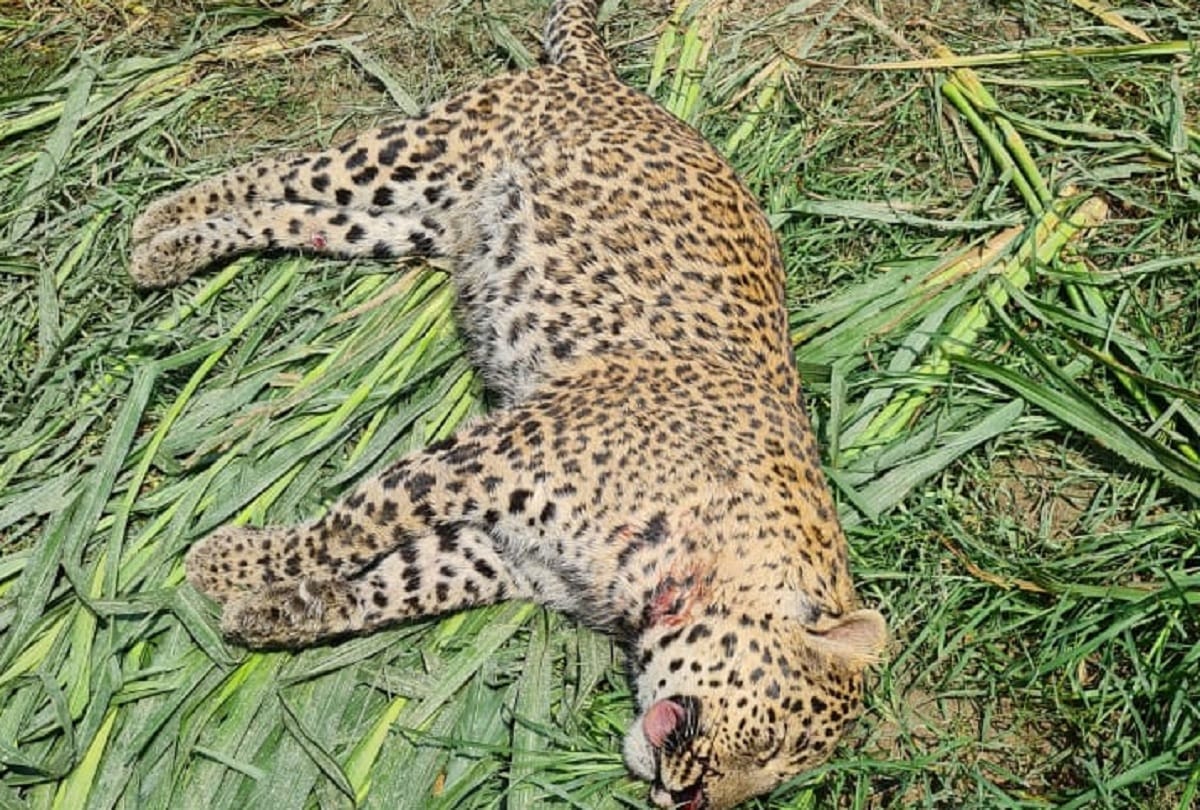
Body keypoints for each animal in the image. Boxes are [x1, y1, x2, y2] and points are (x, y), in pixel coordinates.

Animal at [129, 1, 888, 807]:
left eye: (767, 784)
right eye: (770, 742)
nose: (686, 801)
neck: (689, 566)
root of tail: (603, 78)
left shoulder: (499, 552)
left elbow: (393, 583)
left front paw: (271, 611)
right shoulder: (499, 451)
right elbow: (351, 525)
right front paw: (230, 561)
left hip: (415, 224)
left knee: (297, 217)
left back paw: (172, 248)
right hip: (420, 153)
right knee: (284, 169)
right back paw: (160, 221)